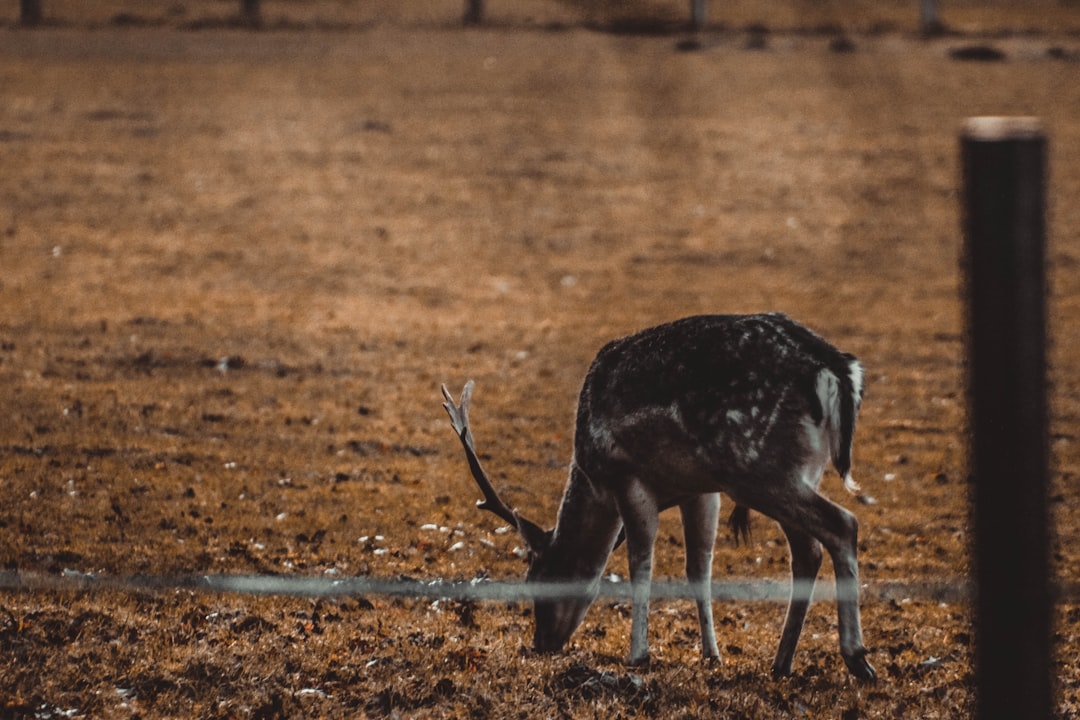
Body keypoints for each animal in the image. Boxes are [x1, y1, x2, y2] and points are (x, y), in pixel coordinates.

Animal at [442, 310, 872, 682]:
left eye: (537, 580)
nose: (542, 643)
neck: (592, 477)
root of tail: (834, 371)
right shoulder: (700, 490)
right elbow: (699, 568)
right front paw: (711, 654)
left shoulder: (629, 477)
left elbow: (640, 563)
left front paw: (638, 654)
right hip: (796, 470)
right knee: (808, 550)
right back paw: (781, 662)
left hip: (757, 466)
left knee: (843, 523)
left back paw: (857, 658)